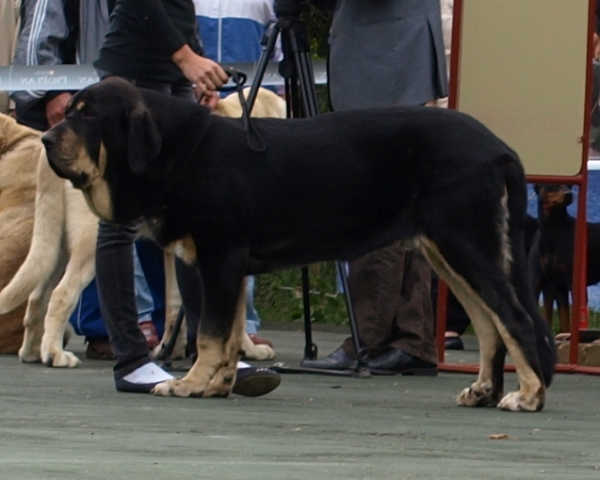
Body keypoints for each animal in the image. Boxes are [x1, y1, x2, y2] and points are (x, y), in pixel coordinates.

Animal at [0, 88, 284, 366]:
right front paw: (246, 350)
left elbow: (174, 303)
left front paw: (170, 349)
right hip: (89, 244)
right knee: (61, 295)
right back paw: (55, 354)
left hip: (55, 244)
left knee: (37, 297)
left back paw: (32, 351)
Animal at [42, 77, 556, 410]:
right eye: (68, 113)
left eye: (89, 117)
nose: (46, 138)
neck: (177, 152)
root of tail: (498, 147)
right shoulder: (227, 266)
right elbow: (229, 334)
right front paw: (219, 384)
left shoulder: (217, 260)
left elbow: (209, 333)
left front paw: (189, 384)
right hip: (449, 251)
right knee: (490, 326)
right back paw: (484, 391)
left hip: (467, 245)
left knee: (513, 319)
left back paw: (529, 396)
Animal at [528, 185, 600, 334]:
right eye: (552, 185)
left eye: (569, 185)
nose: (569, 194)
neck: (556, 230)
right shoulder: (555, 284)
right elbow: (563, 320)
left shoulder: (573, 283)